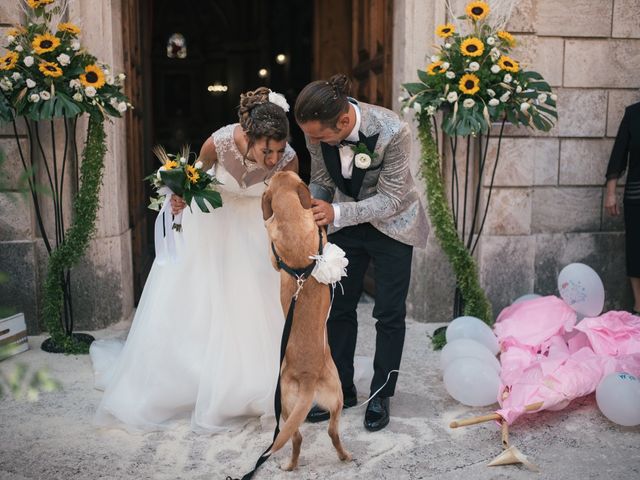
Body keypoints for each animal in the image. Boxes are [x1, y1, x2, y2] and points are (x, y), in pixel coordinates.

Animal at [260, 171, 350, 470]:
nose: (270, 173)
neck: (290, 219)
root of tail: (308, 377)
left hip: (287, 407)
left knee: (295, 437)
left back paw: (290, 465)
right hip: (337, 394)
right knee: (332, 430)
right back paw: (345, 455)